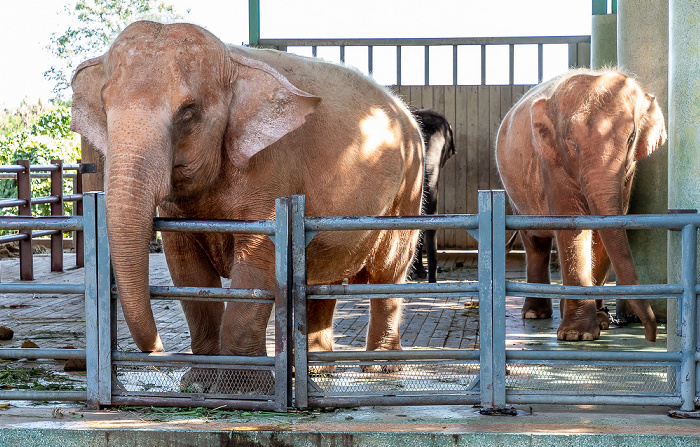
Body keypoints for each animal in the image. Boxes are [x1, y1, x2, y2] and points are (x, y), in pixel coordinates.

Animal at [71, 20, 424, 378]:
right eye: (104, 108)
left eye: (188, 112)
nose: (157, 353)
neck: (233, 61)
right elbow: (187, 273)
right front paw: (200, 381)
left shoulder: (272, 169)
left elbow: (256, 264)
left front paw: (241, 383)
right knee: (323, 278)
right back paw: (316, 371)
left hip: (408, 188)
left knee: (388, 276)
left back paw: (381, 368)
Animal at [494, 69, 664, 344]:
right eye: (571, 142)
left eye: (630, 139)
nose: (651, 336)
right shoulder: (551, 160)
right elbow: (572, 225)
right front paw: (577, 335)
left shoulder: (627, 173)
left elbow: (605, 231)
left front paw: (601, 323)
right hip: (516, 195)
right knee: (535, 242)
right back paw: (534, 314)